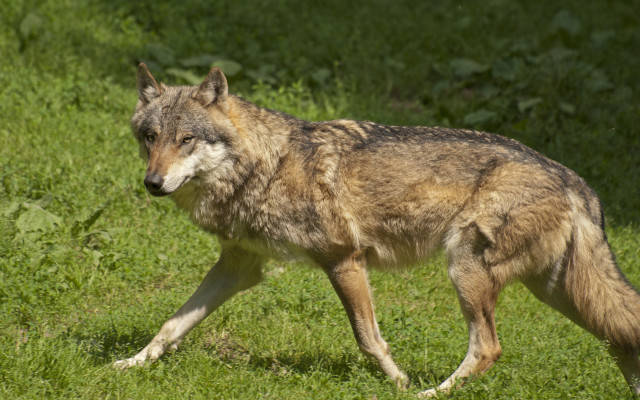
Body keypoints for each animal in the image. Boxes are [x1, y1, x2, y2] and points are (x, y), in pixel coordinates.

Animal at [114, 63, 640, 397]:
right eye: (150, 138)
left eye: (187, 140)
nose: (152, 183)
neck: (265, 167)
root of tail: (572, 178)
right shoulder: (239, 266)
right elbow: (171, 325)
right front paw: (129, 365)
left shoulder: (344, 259)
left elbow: (368, 339)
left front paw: (400, 383)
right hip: (556, 291)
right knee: (622, 333)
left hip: (468, 272)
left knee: (488, 348)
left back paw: (431, 393)